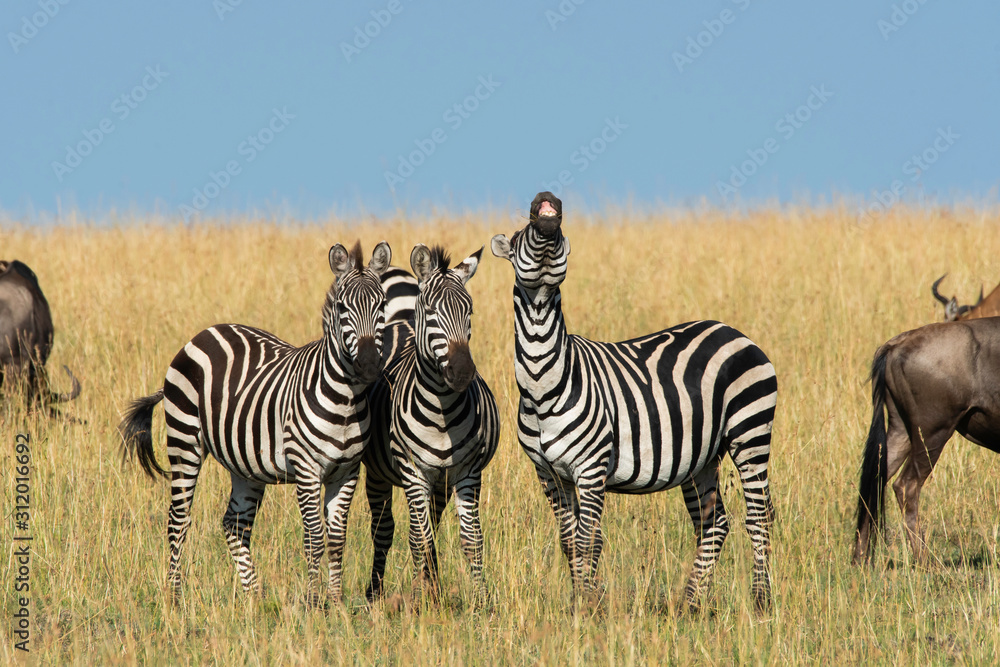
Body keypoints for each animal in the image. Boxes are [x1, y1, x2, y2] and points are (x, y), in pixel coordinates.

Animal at [119, 241, 393, 607]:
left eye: (381, 305)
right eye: (342, 307)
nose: (368, 365)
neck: (346, 401)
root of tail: (206, 332)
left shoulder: (347, 472)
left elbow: (337, 540)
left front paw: (335, 603)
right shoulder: (307, 470)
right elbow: (314, 538)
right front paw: (313, 602)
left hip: (245, 464)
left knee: (233, 523)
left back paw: (254, 597)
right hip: (185, 441)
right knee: (178, 519)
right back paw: (176, 597)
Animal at [363, 244, 500, 605]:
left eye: (470, 312)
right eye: (432, 311)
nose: (462, 372)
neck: (442, 414)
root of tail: (400, 322)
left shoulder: (467, 472)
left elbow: (472, 539)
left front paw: (481, 599)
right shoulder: (413, 472)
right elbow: (417, 538)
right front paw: (422, 599)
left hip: (441, 482)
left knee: (432, 525)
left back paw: (430, 583)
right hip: (379, 474)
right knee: (384, 529)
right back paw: (375, 591)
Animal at [490, 192, 778, 612]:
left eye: (560, 235)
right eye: (518, 236)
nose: (546, 200)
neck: (544, 386)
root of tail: (733, 331)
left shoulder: (590, 468)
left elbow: (587, 540)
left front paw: (587, 606)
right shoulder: (549, 474)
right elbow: (568, 542)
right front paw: (580, 599)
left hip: (750, 432)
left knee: (757, 518)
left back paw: (760, 600)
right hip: (703, 457)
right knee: (713, 523)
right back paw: (690, 603)